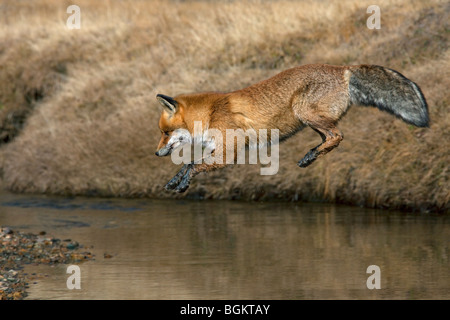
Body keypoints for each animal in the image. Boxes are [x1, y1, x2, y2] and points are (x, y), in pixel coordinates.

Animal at [155, 63, 428, 191]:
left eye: (165, 133)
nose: (156, 153)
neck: (210, 114)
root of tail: (342, 68)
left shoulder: (228, 154)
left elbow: (192, 165)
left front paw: (183, 184)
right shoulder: (216, 150)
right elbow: (188, 165)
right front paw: (174, 182)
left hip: (303, 111)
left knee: (337, 135)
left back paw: (310, 156)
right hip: (310, 120)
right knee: (330, 137)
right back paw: (311, 156)